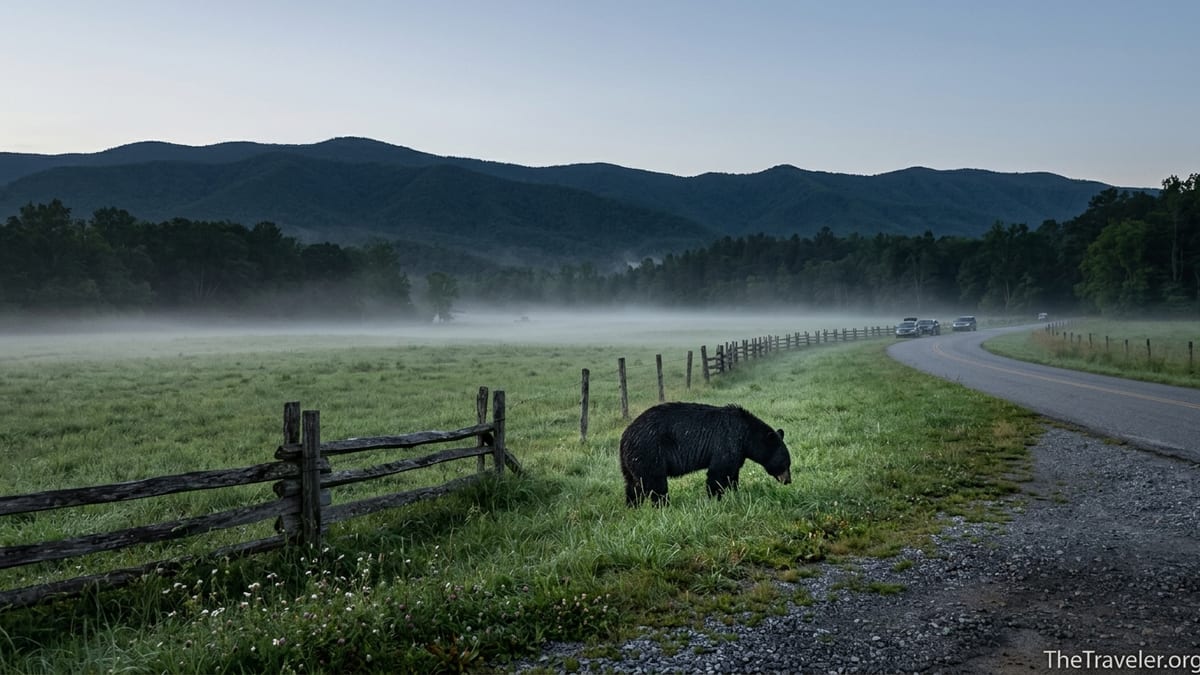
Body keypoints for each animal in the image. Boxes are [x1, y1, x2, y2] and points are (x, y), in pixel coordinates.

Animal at [619, 402, 792, 507]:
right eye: (785, 463)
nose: (788, 481)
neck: (746, 435)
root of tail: (625, 437)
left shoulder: (738, 451)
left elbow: (732, 473)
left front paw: (735, 493)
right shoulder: (727, 441)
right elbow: (718, 472)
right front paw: (716, 499)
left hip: (632, 462)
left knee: (633, 486)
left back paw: (633, 506)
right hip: (650, 453)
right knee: (656, 485)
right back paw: (664, 506)